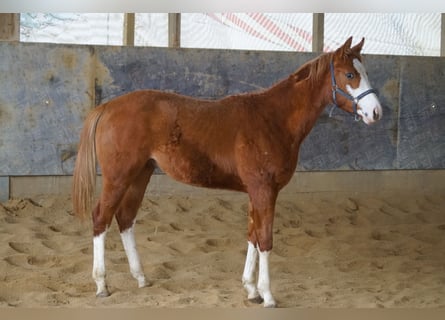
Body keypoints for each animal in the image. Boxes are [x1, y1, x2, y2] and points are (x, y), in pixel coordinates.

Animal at [72, 36, 382, 306]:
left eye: (364, 71)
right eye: (350, 75)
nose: (376, 112)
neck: (273, 119)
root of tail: (107, 107)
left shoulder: (256, 191)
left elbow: (252, 236)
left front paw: (251, 290)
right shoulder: (264, 190)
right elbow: (265, 239)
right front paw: (268, 295)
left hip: (141, 175)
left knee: (125, 219)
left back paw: (141, 278)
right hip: (118, 177)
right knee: (101, 218)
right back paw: (101, 284)